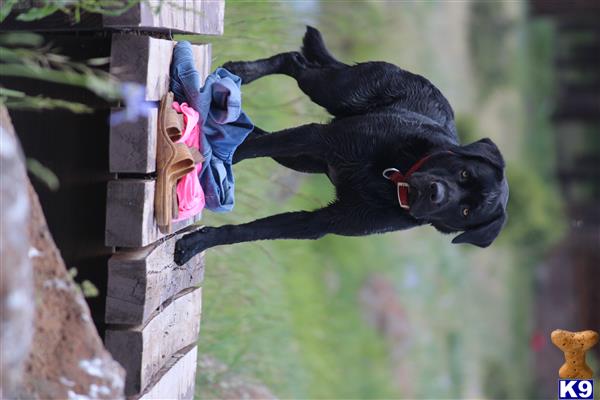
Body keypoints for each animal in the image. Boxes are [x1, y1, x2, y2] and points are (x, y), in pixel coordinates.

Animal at [172, 27, 506, 266]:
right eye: (464, 173)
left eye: (466, 211)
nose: (435, 193)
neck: (391, 178)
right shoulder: (318, 137)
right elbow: (248, 152)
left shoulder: (319, 222)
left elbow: (248, 231)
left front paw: (198, 244)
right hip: (334, 93)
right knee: (295, 62)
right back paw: (246, 71)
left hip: (304, 159)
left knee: (259, 131)